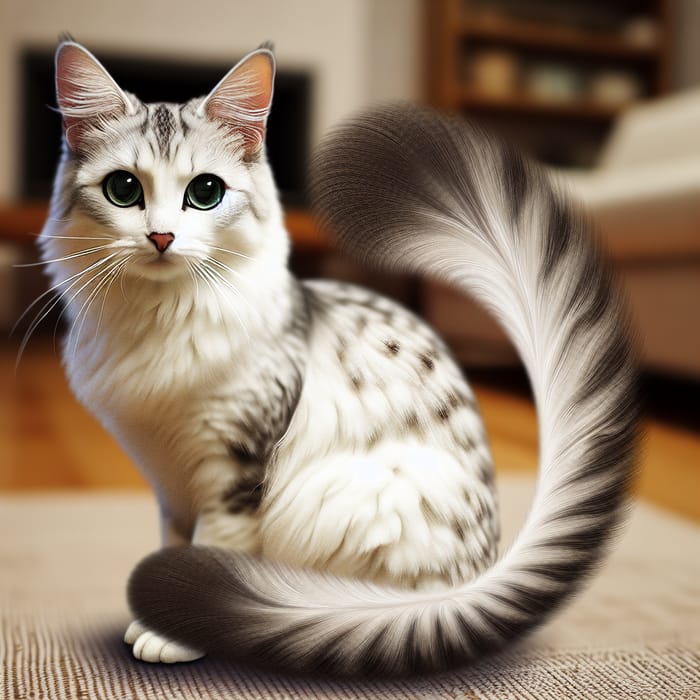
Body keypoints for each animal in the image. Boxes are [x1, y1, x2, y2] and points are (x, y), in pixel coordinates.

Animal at [38, 41, 640, 676]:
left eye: (205, 193)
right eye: (123, 189)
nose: (160, 238)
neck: (160, 320)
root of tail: (477, 595)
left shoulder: (235, 466)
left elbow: (211, 544)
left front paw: (172, 629)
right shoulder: (167, 475)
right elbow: (174, 543)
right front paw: (155, 609)